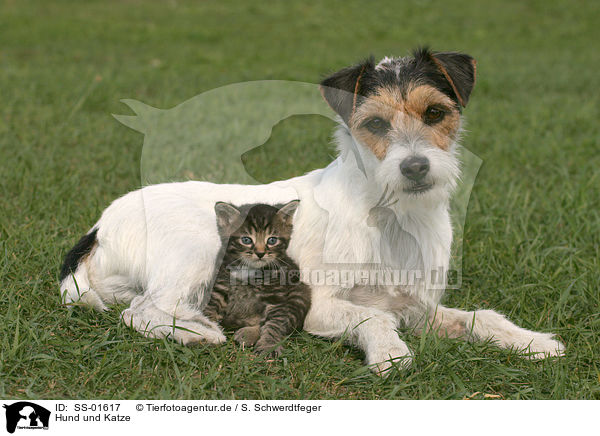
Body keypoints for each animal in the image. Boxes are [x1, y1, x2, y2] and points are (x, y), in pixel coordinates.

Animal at [205, 201, 312, 358]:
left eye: (272, 240)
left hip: (300, 293)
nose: (260, 253)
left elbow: (275, 323)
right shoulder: (220, 285)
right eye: (246, 240)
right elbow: (210, 308)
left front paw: (269, 345)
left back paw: (249, 333)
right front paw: (206, 329)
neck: (249, 272)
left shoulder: (277, 298)